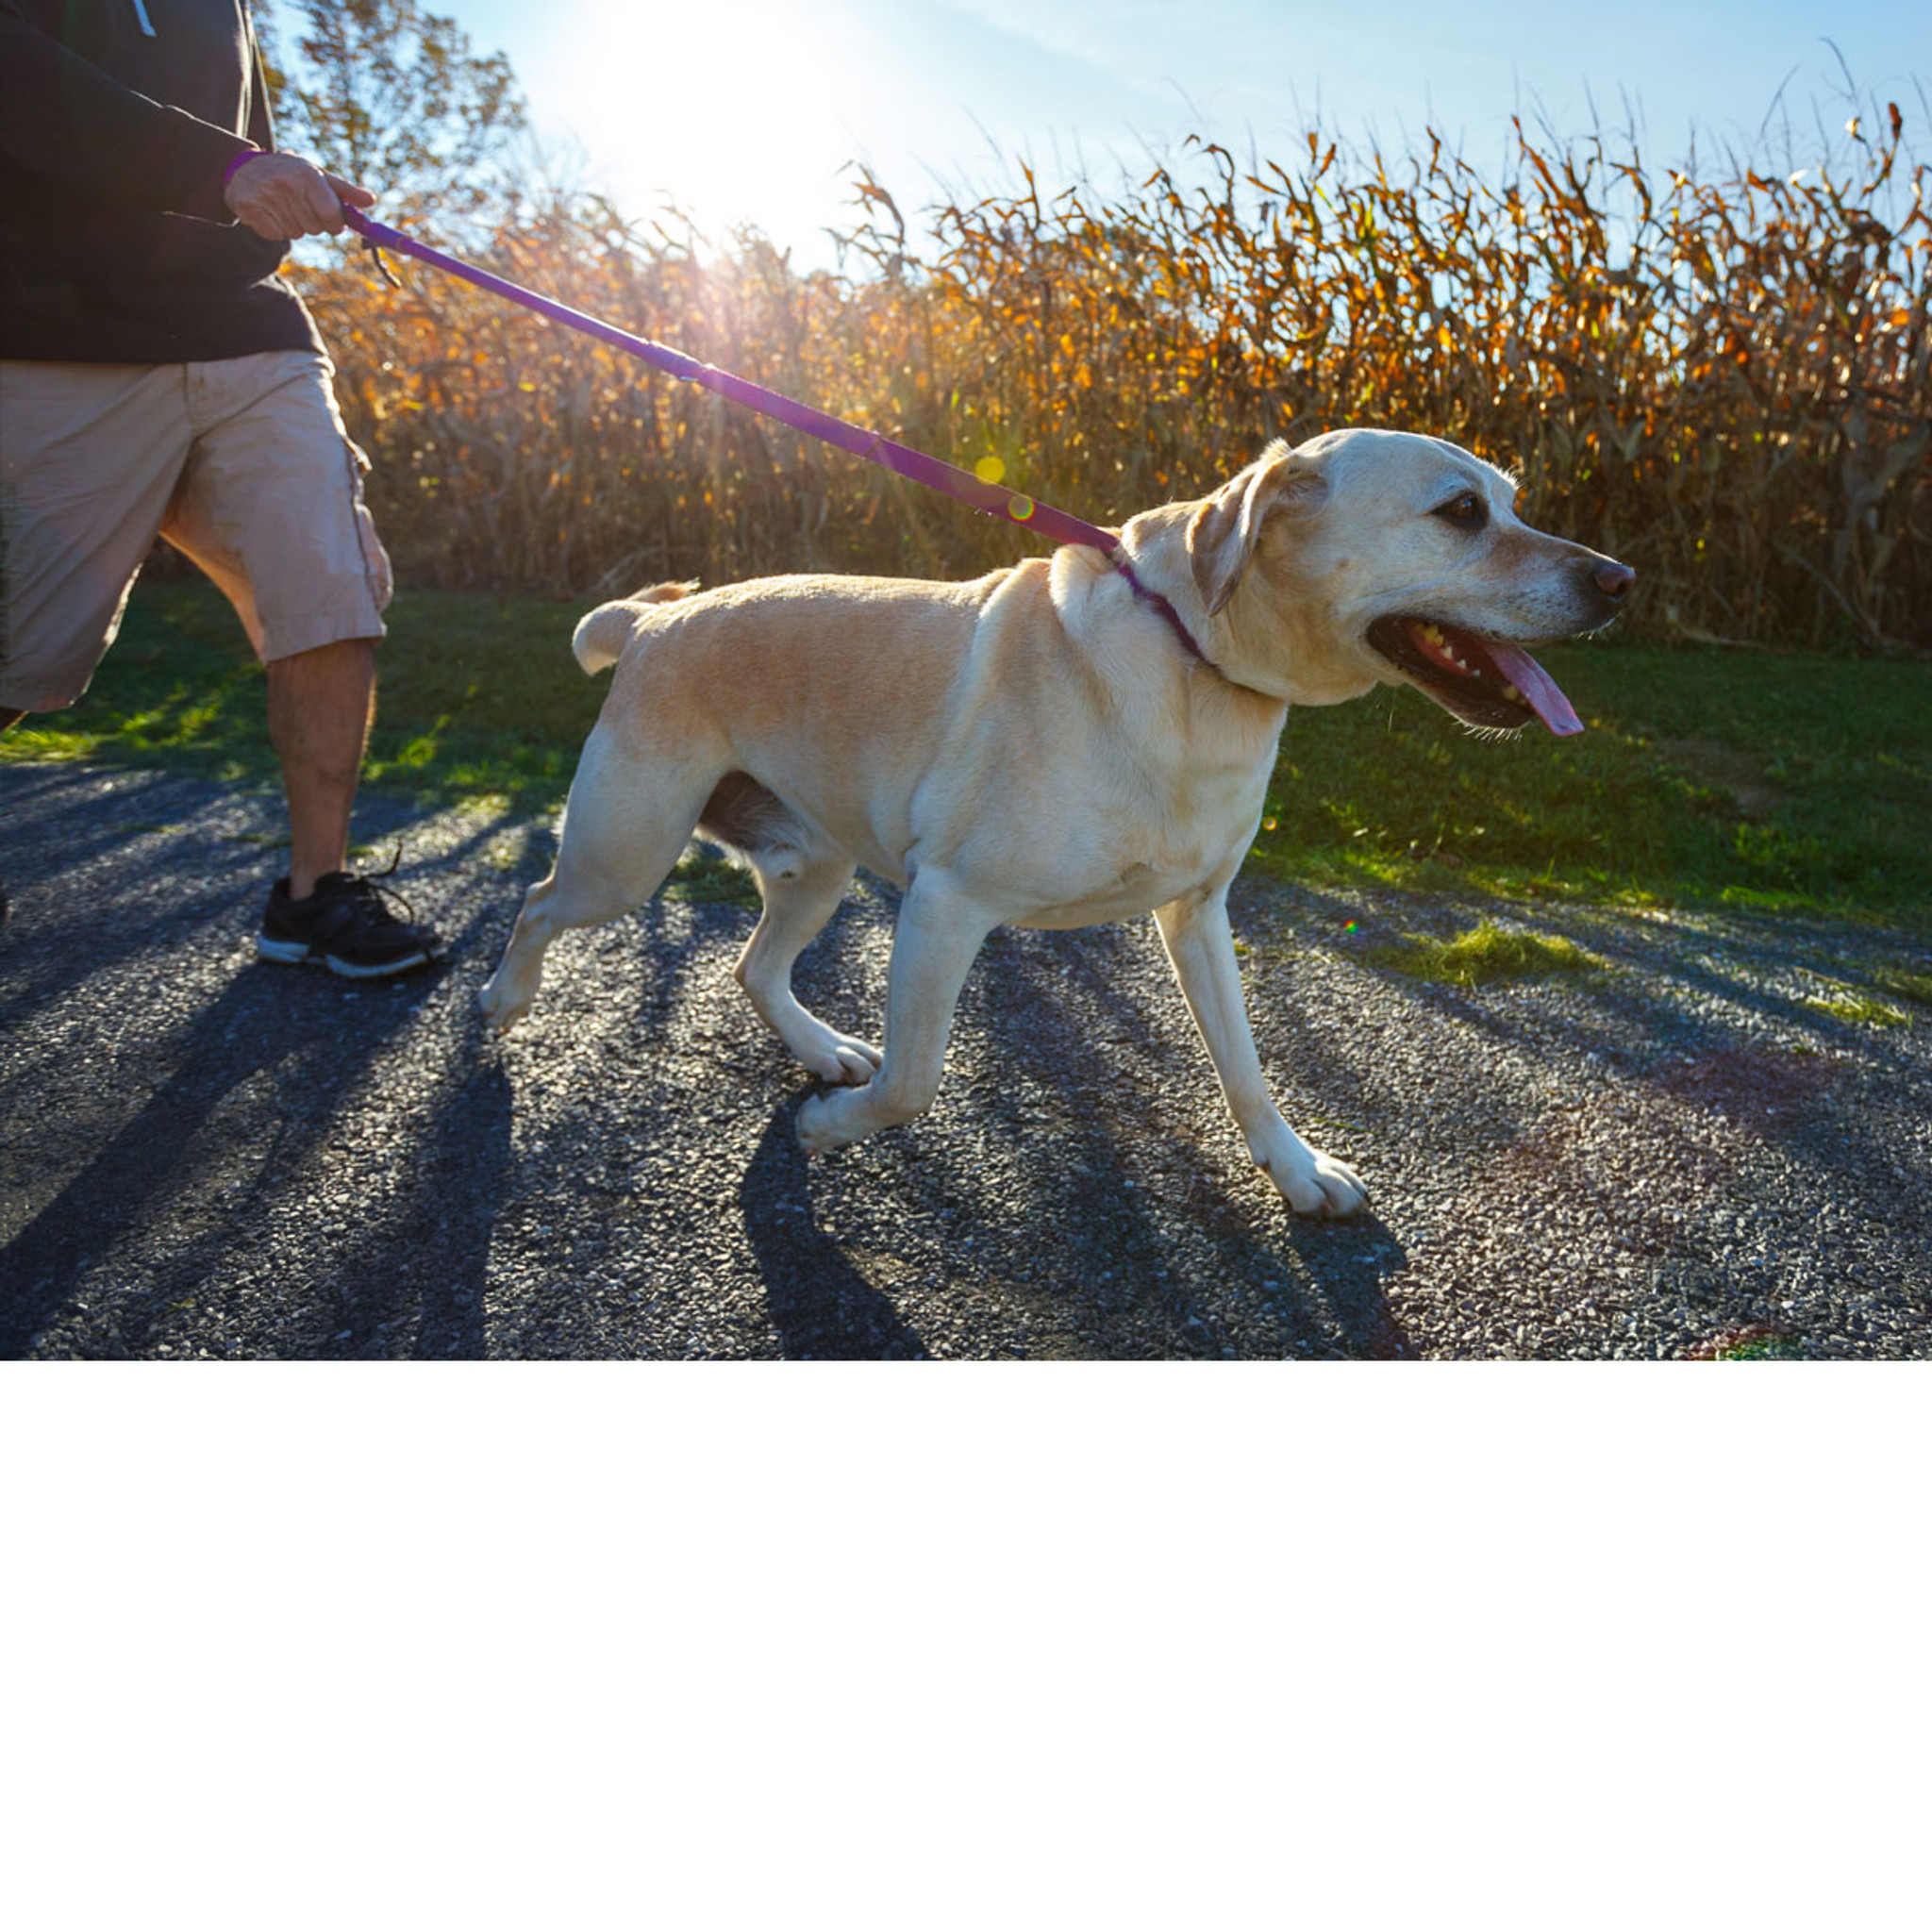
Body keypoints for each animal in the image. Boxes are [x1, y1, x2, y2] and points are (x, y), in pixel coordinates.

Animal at [483, 432, 1630, 1213]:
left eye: (1510, 500)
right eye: (1460, 512)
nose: (1621, 580)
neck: (1197, 661)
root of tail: (656, 616)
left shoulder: (1200, 912)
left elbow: (1246, 1067)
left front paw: (1297, 1170)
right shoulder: (944, 907)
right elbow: (914, 1081)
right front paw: (833, 1130)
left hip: (812, 864)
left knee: (752, 966)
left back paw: (820, 1048)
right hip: (625, 856)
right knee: (539, 900)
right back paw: (503, 999)